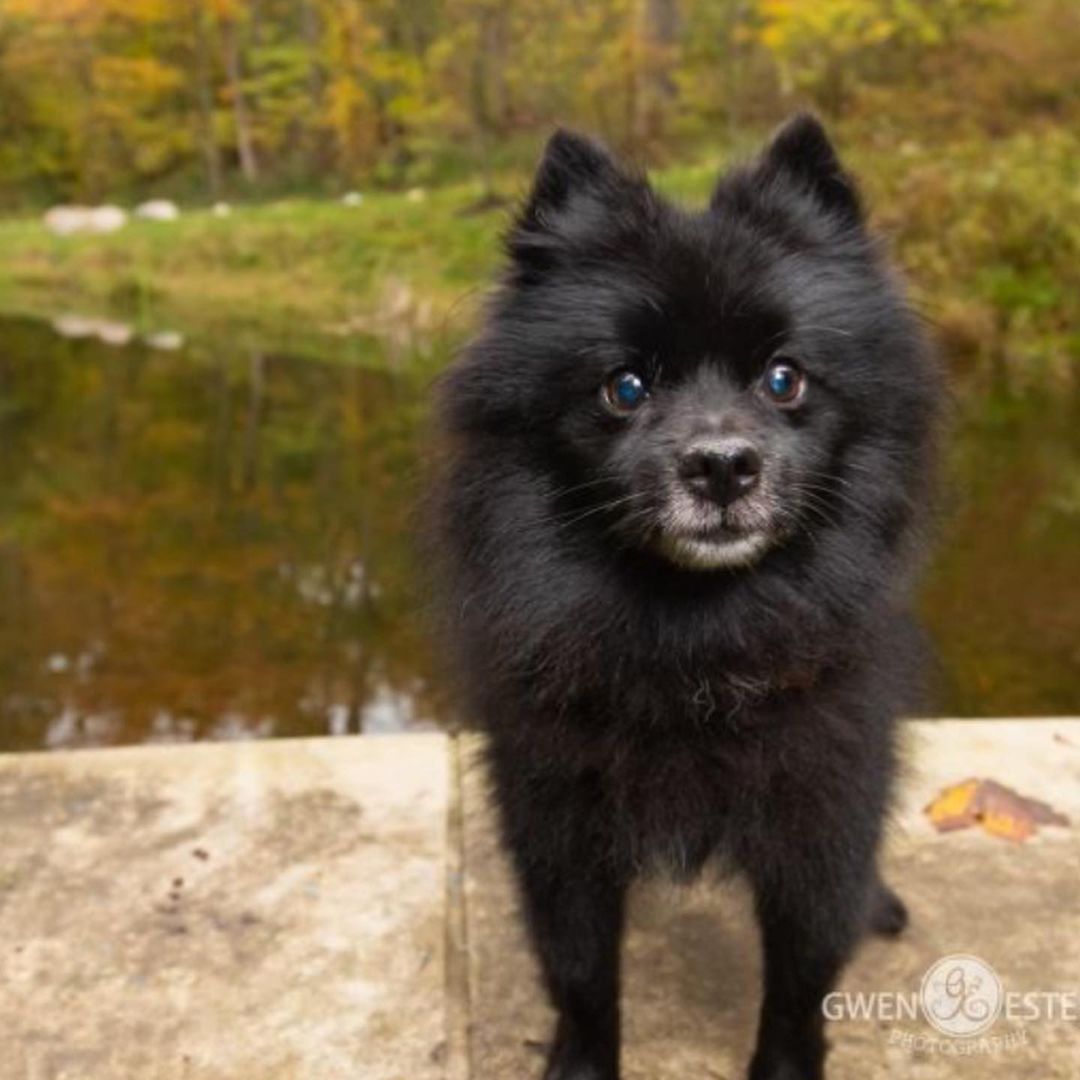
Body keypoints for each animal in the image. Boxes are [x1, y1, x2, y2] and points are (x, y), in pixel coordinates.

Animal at [427, 118, 937, 1080]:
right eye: (625, 388)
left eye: (785, 379)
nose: (723, 464)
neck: (697, 636)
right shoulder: (559, 816)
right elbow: (582, 972)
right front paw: (580, 1065)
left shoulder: (823, 805)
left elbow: (801, 977)